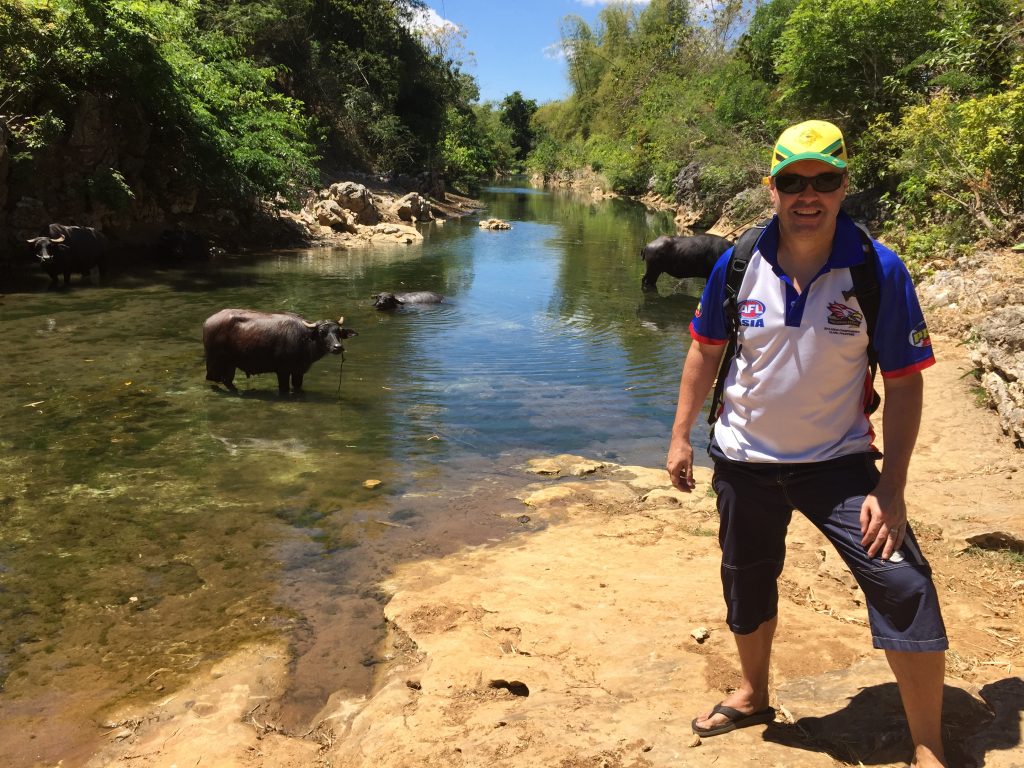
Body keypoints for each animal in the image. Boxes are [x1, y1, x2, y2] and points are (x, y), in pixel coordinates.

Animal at [201, 309, 358, 397]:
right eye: (322, 332)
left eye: (338, 332)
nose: (337, 347)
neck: (304, 340)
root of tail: (207, 322)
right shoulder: (282, 371)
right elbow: (284, 389)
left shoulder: (298, 371)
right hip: (213, 361)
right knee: (211, 379)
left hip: (230, 364)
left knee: (227, 380)